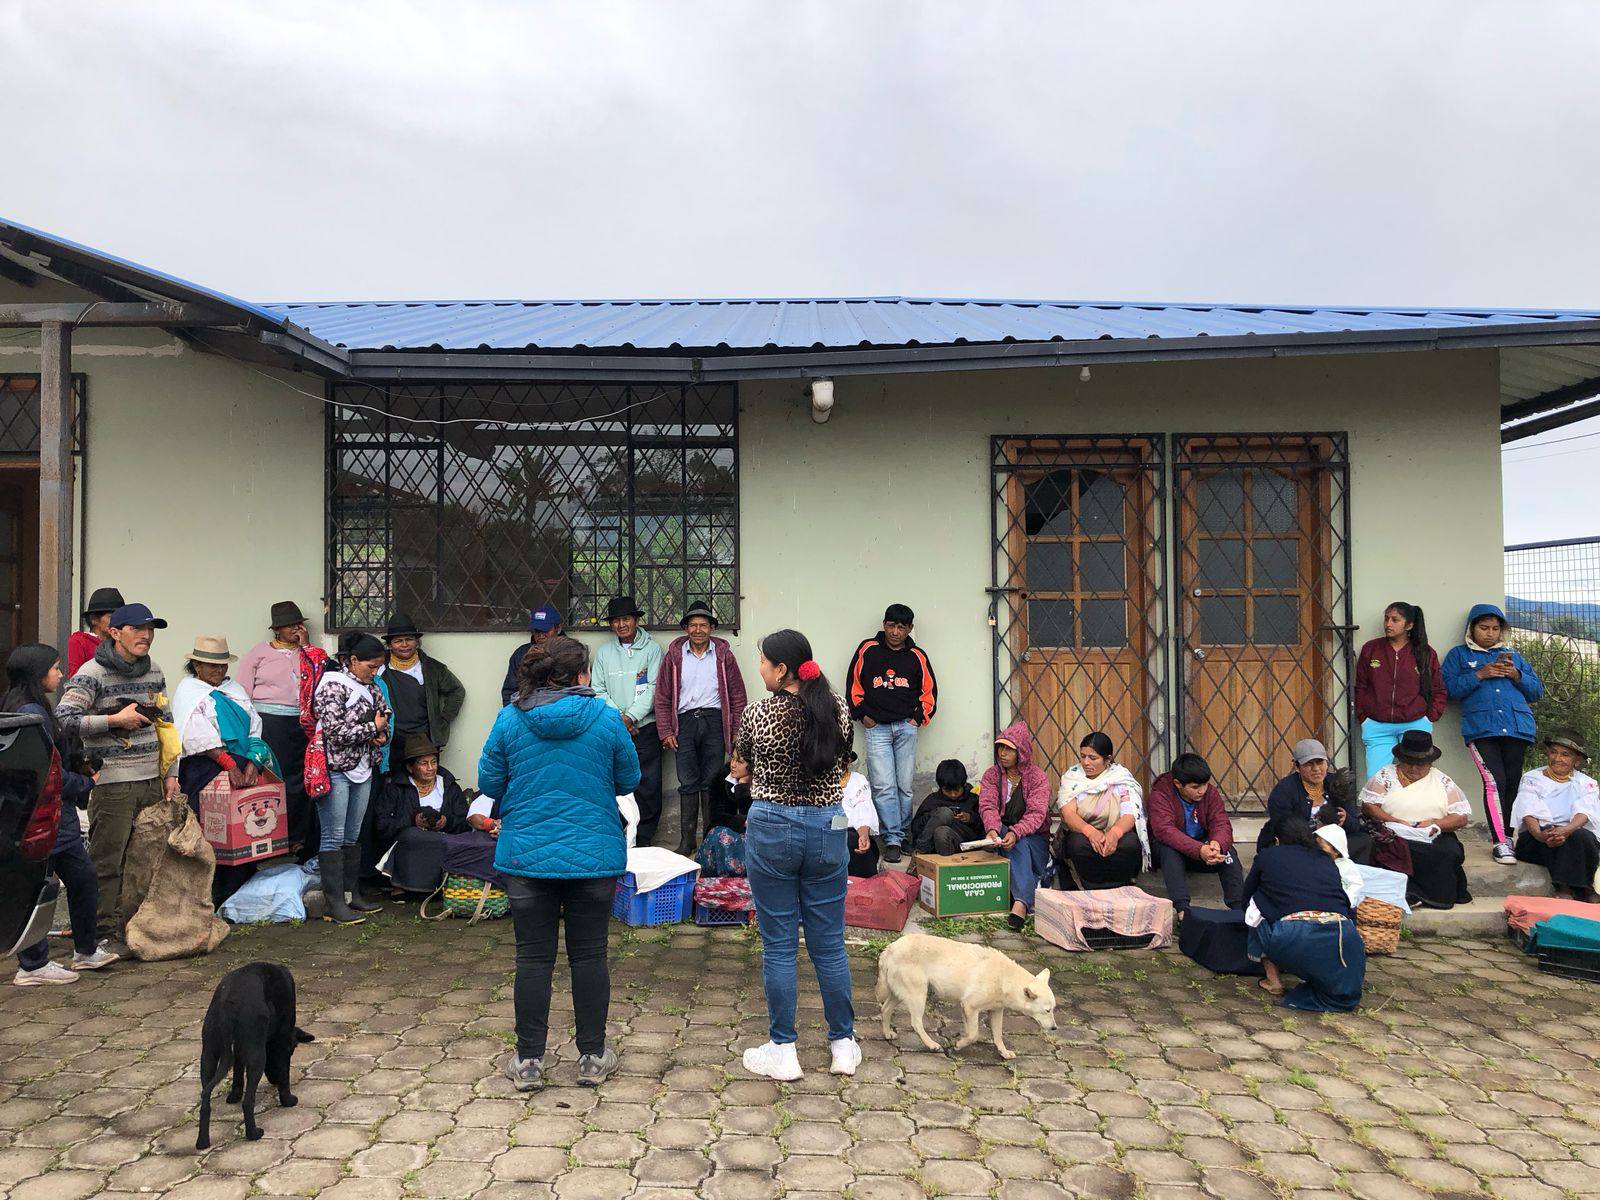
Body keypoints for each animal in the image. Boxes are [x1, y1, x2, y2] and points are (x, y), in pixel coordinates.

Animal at [196, 962, 314, 1150]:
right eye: (293, 1049)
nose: (274, 1081)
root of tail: (229, 1003)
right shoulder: (282, 1042)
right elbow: (285, 1074)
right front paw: (287, 1100)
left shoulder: (238, 1050)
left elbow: (238, 1072)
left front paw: (234, 1095)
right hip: (257, 1057)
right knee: (248, 1101)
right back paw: (253, 1133)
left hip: (208, 1055)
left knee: (205, 1101)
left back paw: (202, 1141)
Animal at [876, 933, 1056, 1060]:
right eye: (1047, 1011)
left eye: (1053, 1009)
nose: (1055, 1028)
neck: (1005, 978)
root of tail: (890, 948)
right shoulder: (970, 1006)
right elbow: (974, 1035)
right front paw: (959, 1044)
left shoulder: (995, 1011)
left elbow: (997, 1035)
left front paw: (1003, 1052)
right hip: (918, 995)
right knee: (915, 1023)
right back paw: (932, 1044)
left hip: (899, 994)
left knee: (885, 1009)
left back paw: (887, 1033)